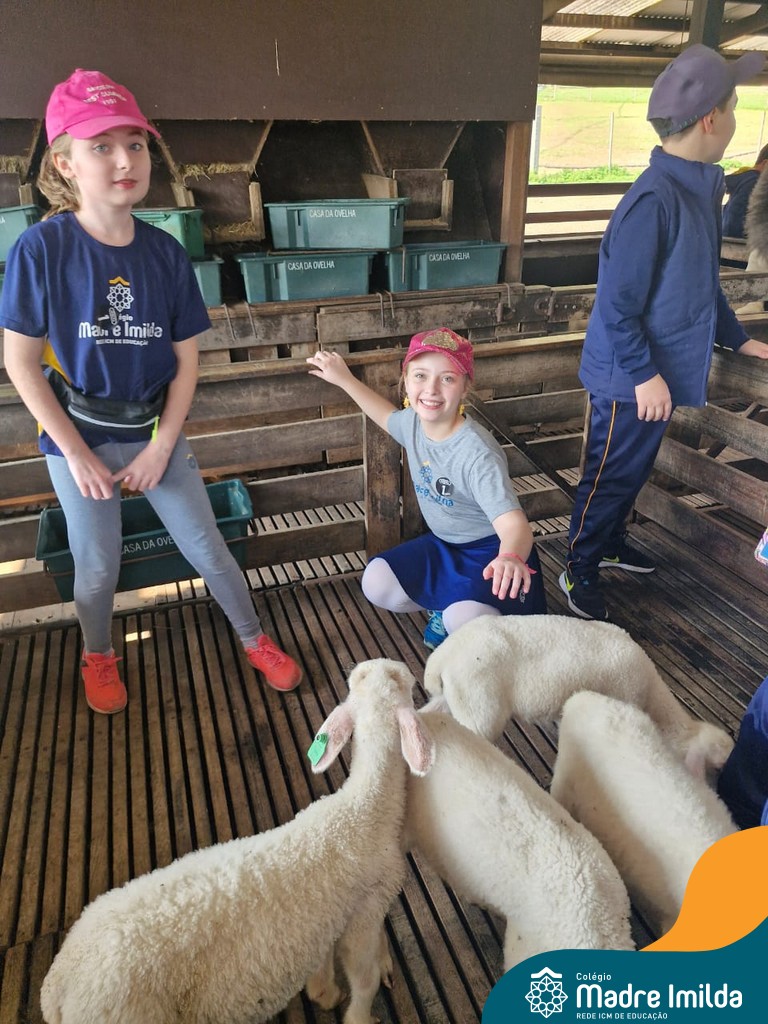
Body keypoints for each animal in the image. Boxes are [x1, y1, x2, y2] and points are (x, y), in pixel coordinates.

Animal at [40, 658, 436, 1024]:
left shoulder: (329, 920)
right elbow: (365, 977)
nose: (379, 663)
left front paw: (324, 992)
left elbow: (323, 963)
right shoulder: (366, 911)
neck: (363, 809)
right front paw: (363, 1013)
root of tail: (59, 987)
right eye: (400, 680)